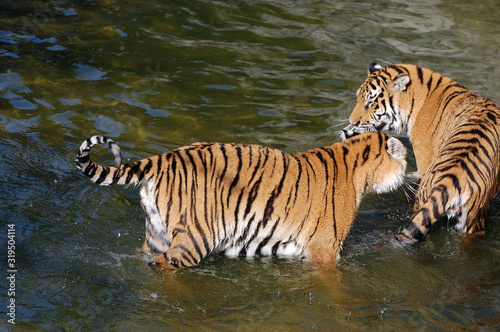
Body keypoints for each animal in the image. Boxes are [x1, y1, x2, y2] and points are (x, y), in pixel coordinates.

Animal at [76, 132, 408, 270]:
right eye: (403, 158)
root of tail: (164, 158)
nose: (408, 173)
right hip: (195, 239)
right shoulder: (323, 250)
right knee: (164, 265)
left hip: (156, 235)